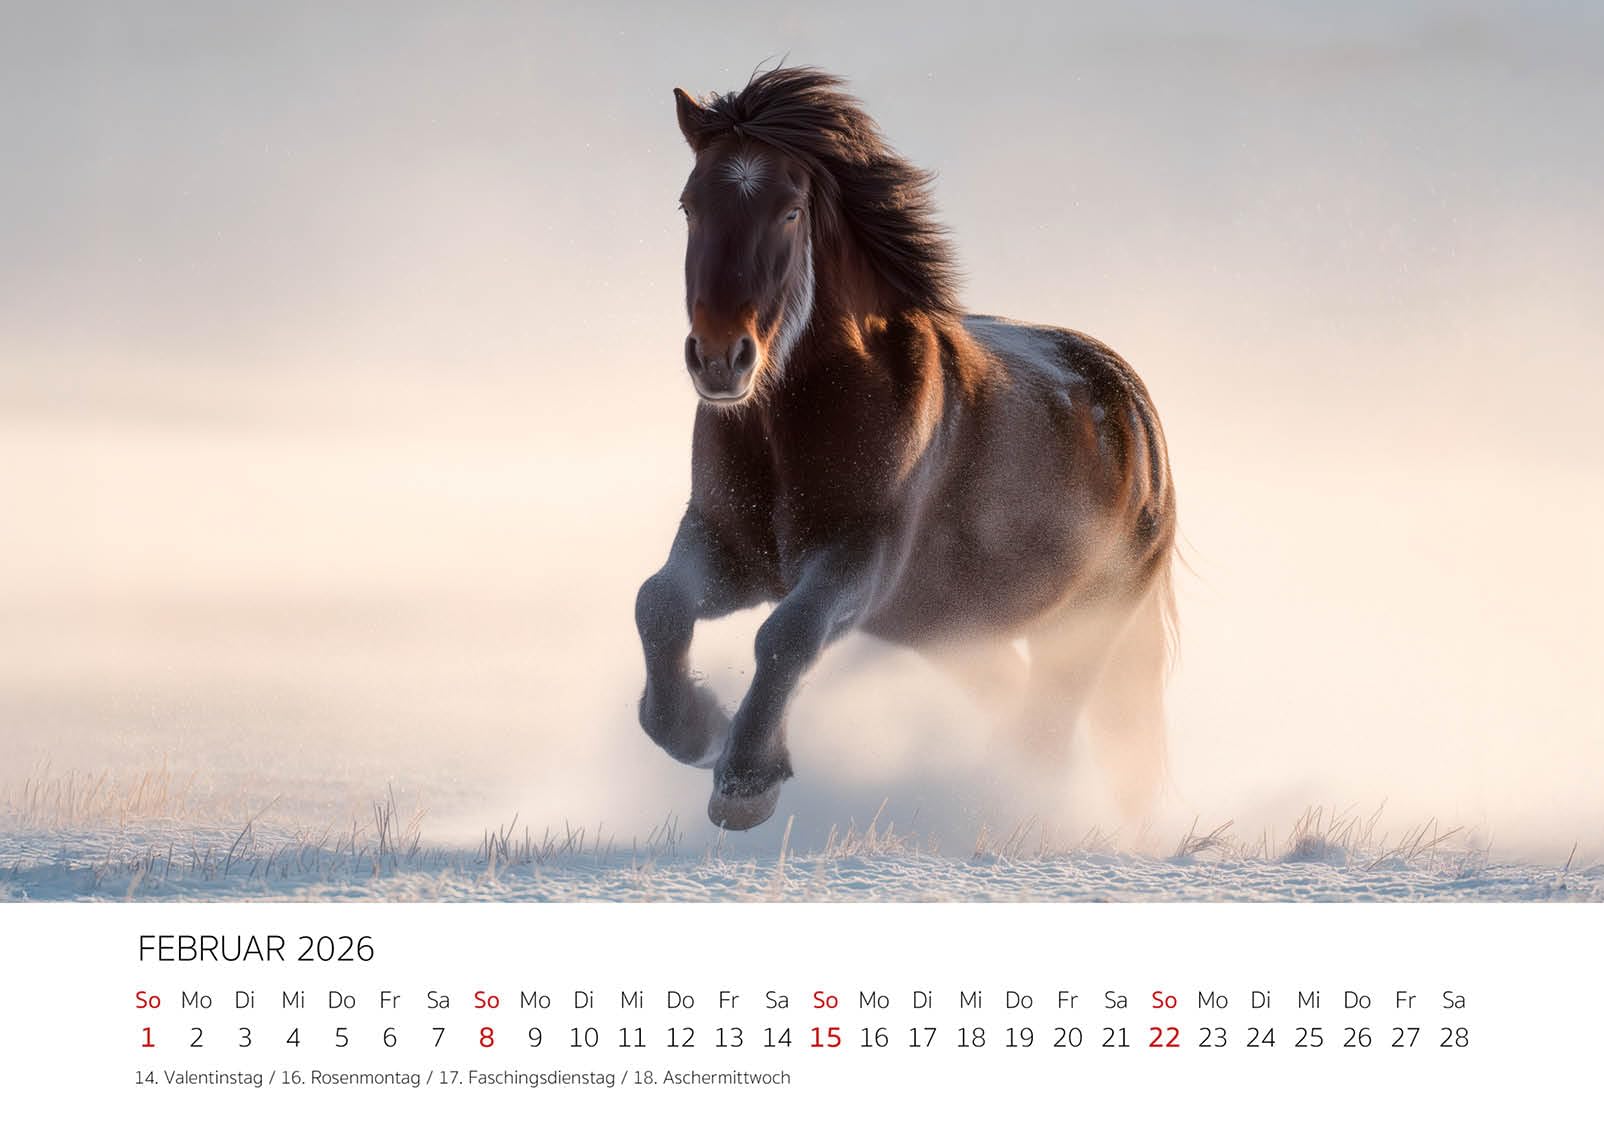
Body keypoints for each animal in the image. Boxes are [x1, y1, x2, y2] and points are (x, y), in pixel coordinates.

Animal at [635, 67, 1176, 830]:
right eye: (689, 205)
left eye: (791, 212)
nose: (719, 359)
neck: (794, 424)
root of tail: (1135, 412)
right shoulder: (726, 544)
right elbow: (657, 604)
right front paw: (698, 730)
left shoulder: (860, 557)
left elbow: (786, 635)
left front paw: (745, 783)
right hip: (959, 635)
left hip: (1088, 627)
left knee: (1053, 732)